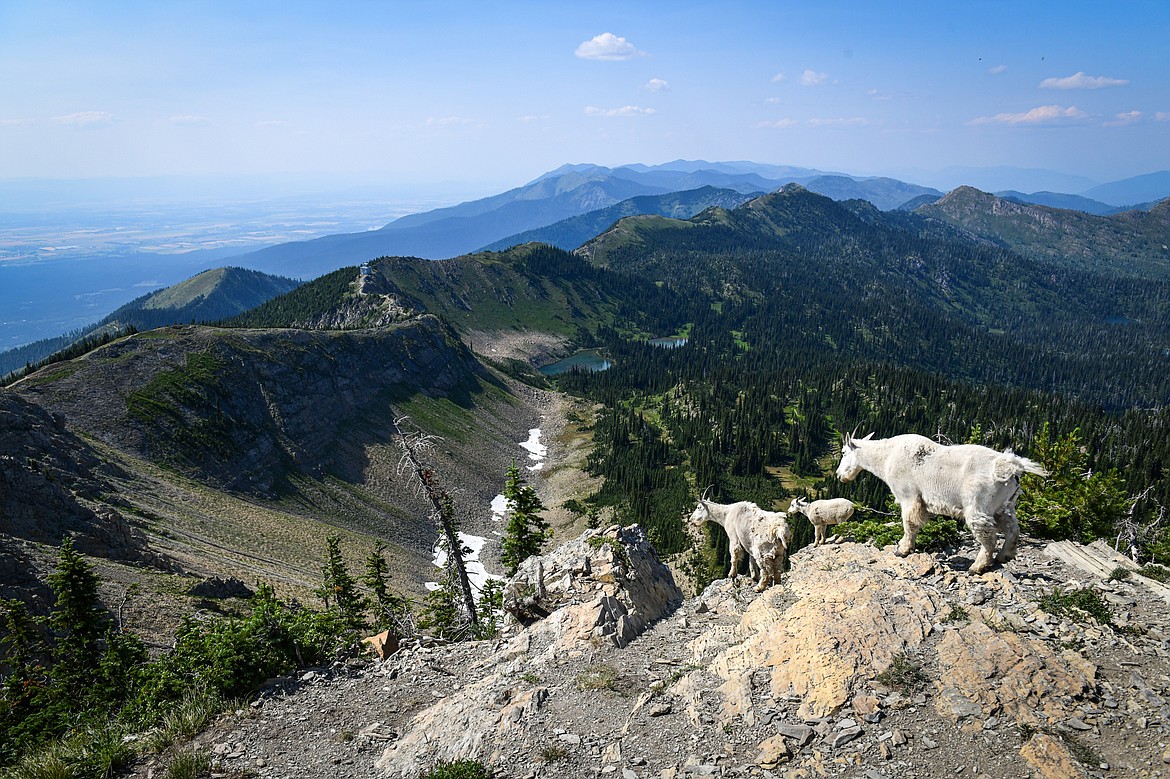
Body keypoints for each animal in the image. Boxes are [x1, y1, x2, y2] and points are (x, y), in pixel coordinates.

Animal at [837, 430, 1048, 570]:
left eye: (843, 452)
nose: (840, 475)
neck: (886, 456)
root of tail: (1012, 467)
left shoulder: (909, 496)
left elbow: (909, 523)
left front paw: (902, 549)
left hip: (979, 505)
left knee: (989, 536)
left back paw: (977, 567)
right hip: (1005, 505)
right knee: (1012, 528)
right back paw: (1004, 556)